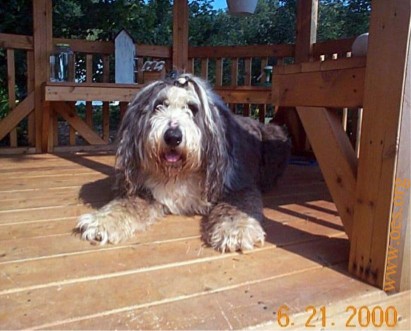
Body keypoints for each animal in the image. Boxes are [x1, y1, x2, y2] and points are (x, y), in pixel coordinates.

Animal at [76, 74, 290, 253]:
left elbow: (237, 207)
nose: (173, 136)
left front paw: (235, 231)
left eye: (193, 109)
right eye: (159, 105)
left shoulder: (239, 185)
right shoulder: (147, 189)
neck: (180, 173)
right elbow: (128, 203)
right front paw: (102, 221)